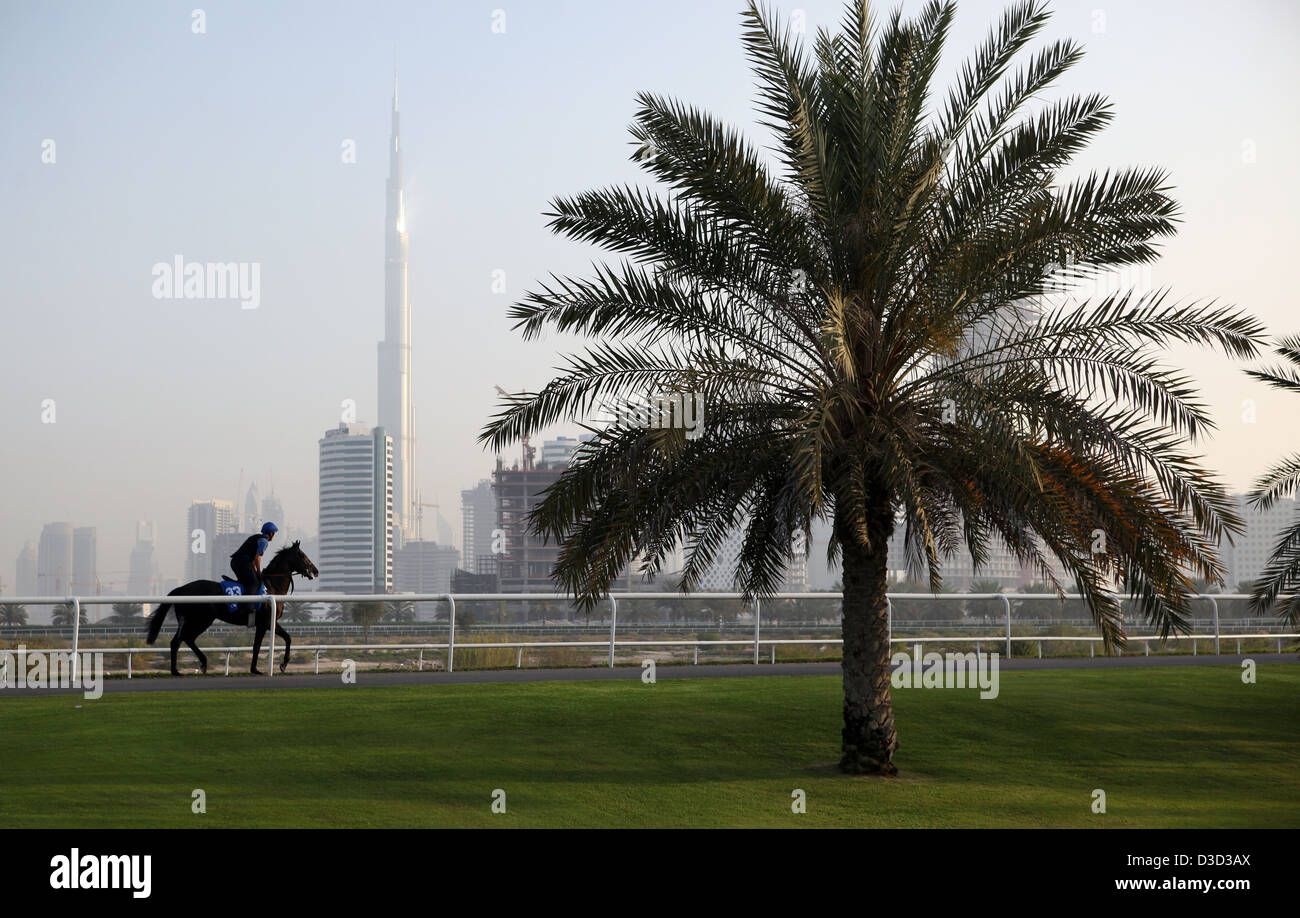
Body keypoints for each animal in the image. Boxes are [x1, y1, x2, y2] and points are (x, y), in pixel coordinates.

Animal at [146, 535, 318, 670]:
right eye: (303, 556)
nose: (315, 571)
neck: (272, 587)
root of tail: (182, 588)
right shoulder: (268, 622)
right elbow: (285, 638)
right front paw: (282, 664)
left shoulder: (262, 624)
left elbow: (259, 645)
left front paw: (256, 669)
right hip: (202, 619)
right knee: (186, 638)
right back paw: (199, 663)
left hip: (187, 620)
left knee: (177, 641)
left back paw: (178, 670)